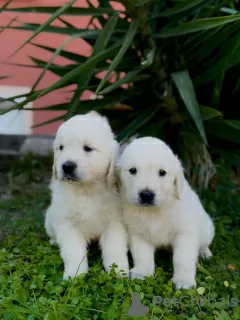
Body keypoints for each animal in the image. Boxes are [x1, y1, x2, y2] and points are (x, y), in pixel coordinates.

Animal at [45, 112, 129, 280]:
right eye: (61, 148)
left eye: (88, 148)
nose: (67, 166)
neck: (86, 189)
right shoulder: (66, 223)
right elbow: (73, 251)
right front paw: (75, 275)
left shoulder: (114, 222)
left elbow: (114, 249)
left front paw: (118, 271)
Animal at [117, 136, 215, 288]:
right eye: (132, 170)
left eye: (162, 172)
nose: (146, 195)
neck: (153, 212)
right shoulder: (138, 233)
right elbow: (142, 254)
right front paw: (142, 272)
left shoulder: (185, 233)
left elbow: (183, 259)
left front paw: (184, 280)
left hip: (207, 231)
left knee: (204, 244)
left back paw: (205, 253)